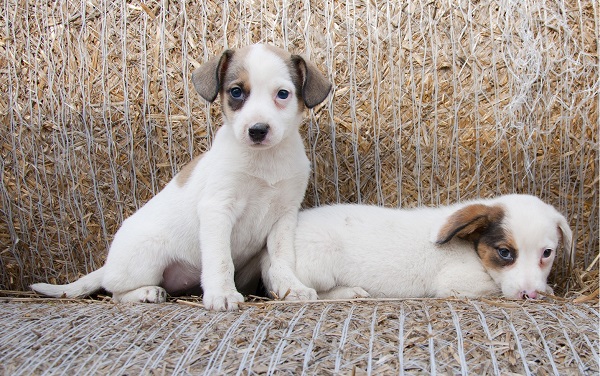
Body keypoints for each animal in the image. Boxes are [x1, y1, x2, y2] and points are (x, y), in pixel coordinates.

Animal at [30, 43, 330, 312]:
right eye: (236, 92)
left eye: (282, 94)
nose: (257, 130)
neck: (265, 161)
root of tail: (107, 265)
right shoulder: (218, 209)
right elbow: (220, 260)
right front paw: (221, 294)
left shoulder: (283, 217)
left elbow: (281, 260)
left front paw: (290, 288)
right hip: (146, 259)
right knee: (115, 293)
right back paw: (147, 293)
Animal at [268, 194, 572, 300]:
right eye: (505, 253)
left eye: (547, 254)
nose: (530, 294)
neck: (472, 248)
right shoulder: (456, 283)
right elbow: (493, 288)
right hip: (316, 270)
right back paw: (350, 292)